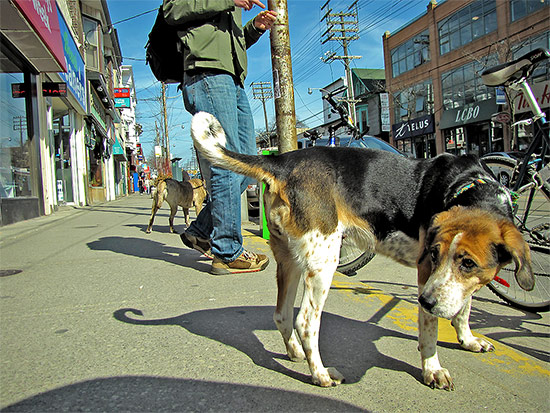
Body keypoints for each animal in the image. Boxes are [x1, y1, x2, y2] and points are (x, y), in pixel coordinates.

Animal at [190, 111, 536, 388]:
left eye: (468, 263)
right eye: (434, 254)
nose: (425, 301)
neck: (471, 187)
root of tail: (282, 161)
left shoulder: (463, 283)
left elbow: (463, 308)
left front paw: (467, 340)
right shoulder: (427, 273)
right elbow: (431, 328)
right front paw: (433, 369)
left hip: (290, 260)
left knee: (282, 314)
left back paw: (295, 353)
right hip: (324, 261)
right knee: (305, 322)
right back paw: (321, 375)